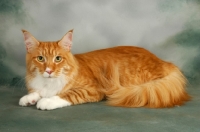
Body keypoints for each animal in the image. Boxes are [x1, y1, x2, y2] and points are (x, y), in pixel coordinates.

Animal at [19, 29, 191, 110]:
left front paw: (47, 101)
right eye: (40, 58)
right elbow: (36, 92)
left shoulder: (91, 90)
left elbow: (65, 95)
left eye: (58, 59)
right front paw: (29, 98)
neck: (49, 82)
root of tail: (163, 61)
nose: (49, 70)